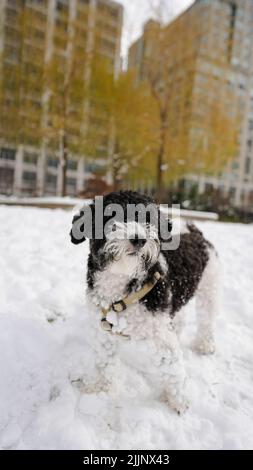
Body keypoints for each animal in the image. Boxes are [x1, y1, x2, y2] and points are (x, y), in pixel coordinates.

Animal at [70, 190, 219, 412]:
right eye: (111, 216)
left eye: (148, 220)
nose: (139, 239)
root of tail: (197, 235)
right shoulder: (102, 332)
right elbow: (104, 363)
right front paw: (100, 389)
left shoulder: (162, 337)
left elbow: (173, 369)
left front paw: (179, 402)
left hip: (209, 290)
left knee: (207, 320)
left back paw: (205, 345)